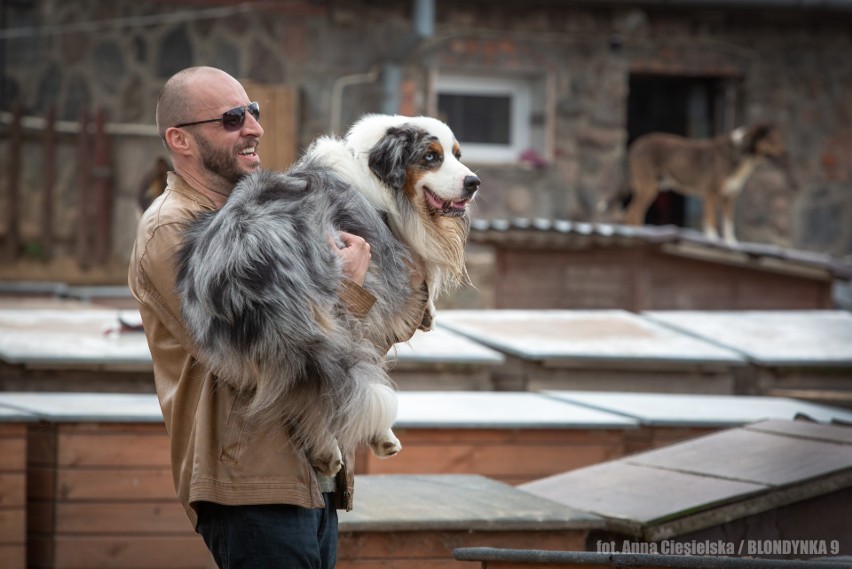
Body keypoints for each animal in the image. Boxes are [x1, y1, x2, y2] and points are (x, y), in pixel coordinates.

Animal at [173, 115, 480, 474]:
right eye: (431, 157)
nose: (474, 182)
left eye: (457, 154)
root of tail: (245, 266)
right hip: (338, 317)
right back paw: (342, 445)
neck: (372, 175)